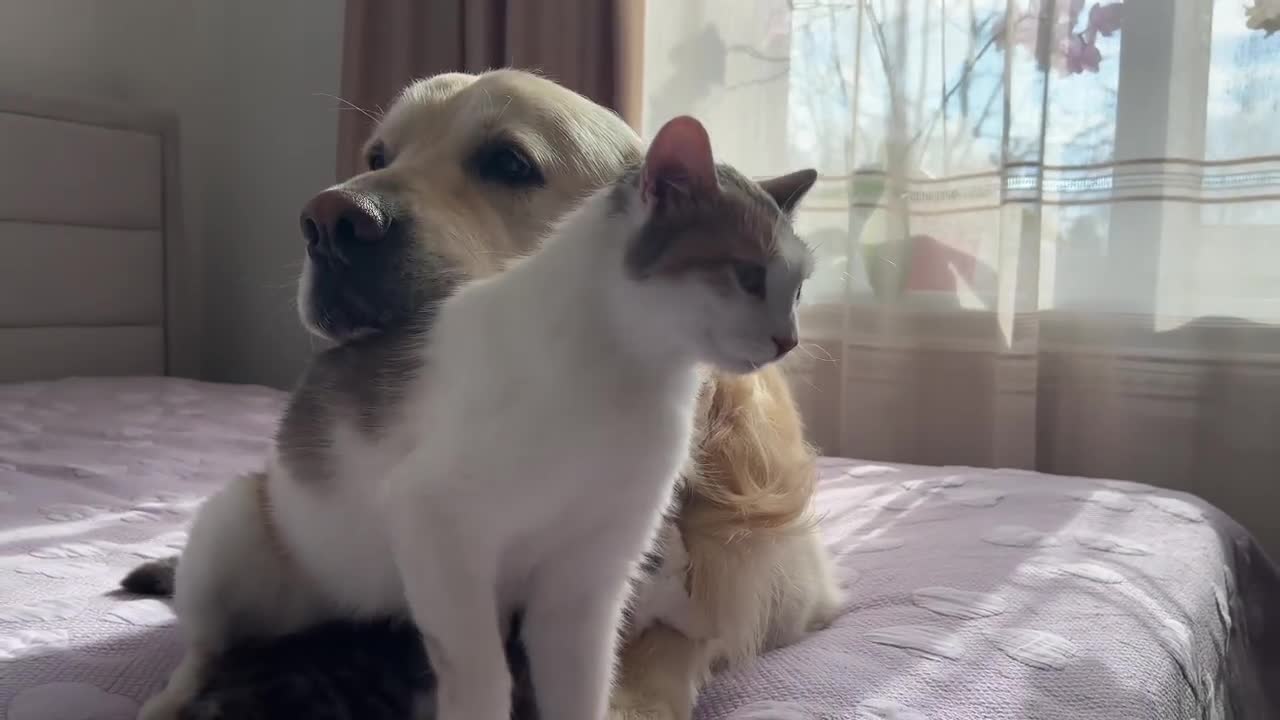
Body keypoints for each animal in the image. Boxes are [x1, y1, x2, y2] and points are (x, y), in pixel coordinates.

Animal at [129, 68, 839, 717]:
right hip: (232, 530)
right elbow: (483, 678)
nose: (330, 219)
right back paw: (171, 697)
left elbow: (608, 677)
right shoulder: (439, 527)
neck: (628, 377)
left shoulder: (590, 580)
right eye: (375, 157)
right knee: (203, 647)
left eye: (509, 161)